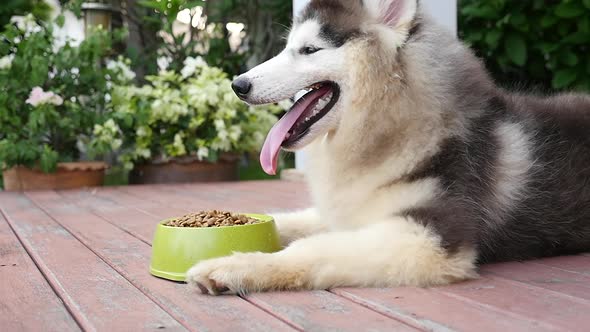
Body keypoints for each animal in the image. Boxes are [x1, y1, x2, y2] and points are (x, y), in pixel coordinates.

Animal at [187, 0, 590, 296]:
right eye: (289, 48)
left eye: (309, 50)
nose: (238, 85)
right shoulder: (352, 210)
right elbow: (285, 222)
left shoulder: (427, 239)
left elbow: (311, 249)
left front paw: (234, 266)